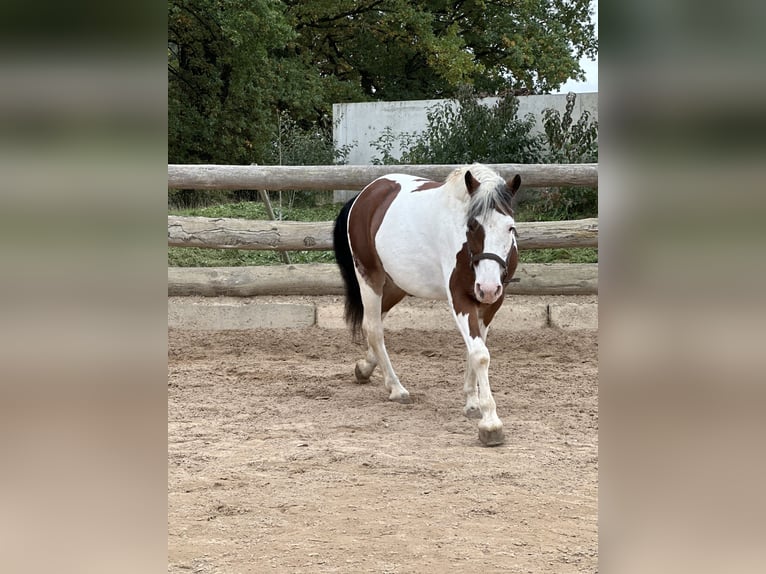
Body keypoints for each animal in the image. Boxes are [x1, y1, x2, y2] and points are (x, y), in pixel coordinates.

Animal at [332, 163, 521, 446]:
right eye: (472, 225)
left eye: (510, 227)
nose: (487, 288)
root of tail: (366, 194)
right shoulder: (460, 298)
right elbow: (480, 354)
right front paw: (490, 424)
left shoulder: (490, 305)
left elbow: (475, 351)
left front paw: (472, 403)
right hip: (369, 277)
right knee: (374, 328)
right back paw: (396, 388)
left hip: (397, 284)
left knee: (373, 322)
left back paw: (365, 369)